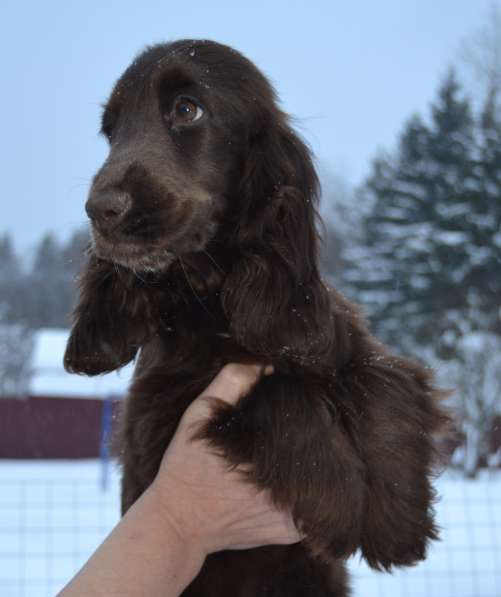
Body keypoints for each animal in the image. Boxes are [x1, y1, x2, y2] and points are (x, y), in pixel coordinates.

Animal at [65, 40, 446, 596]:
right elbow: (280, 397)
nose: (100, 209)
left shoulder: (336, 339)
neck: (214, 298)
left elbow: (383, 384)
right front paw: (343, 502)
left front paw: (400, 527)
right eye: (111, 132)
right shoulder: (166, 408)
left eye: (186, 109)